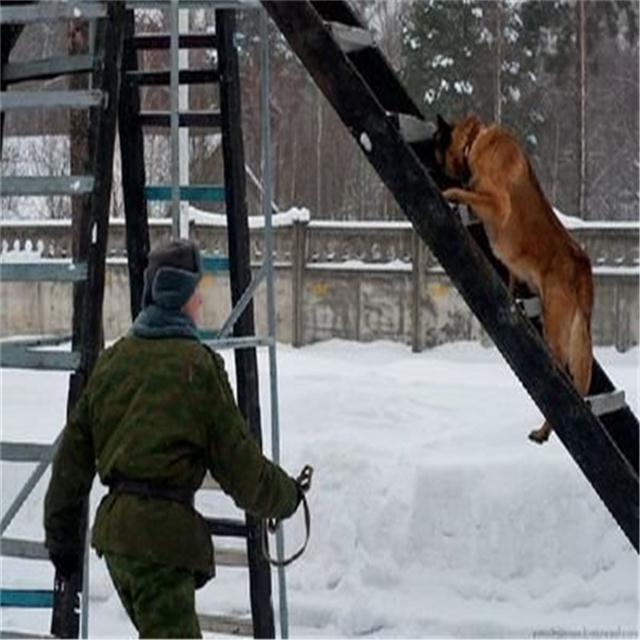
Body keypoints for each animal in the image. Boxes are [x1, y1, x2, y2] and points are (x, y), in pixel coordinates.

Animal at [436, 115, 596, 442]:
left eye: (437, 141)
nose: (434, 161)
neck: (474, 141)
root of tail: (582, 265)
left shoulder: (497, 203)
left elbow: (466, 192)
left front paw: (450, 194)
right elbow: (509, 277)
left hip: (555, 328)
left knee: (564, 381)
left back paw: (544, 430)